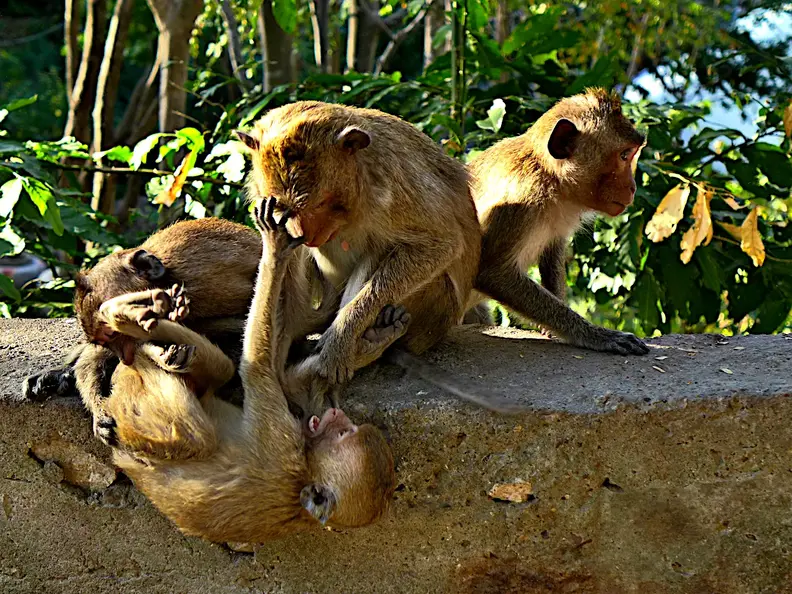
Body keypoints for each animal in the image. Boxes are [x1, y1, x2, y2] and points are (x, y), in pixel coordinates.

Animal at [94, 198, 396, 542]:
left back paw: (124, 322)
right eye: (350, 430)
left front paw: (275, 250)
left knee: (199, 433)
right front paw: (375, 339)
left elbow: (259, 364)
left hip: (134, 403)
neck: (306, 470)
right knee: (220, 373)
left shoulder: (280, 438)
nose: (338, 415)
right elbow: (288, 375)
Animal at [235, 101, 482, 400]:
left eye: (318, 204)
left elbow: (441, 243)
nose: (305, 235)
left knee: (380, 250)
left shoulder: (393, 186)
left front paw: (341, 337)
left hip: (435, 309)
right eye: (285, 209)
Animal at [467, 88, 650, 356]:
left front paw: (553, 328)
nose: (633, 187)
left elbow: (552, 252)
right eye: (625, 155)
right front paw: (596, 335)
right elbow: (492, 272)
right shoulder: (518, 202)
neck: (549, 176)